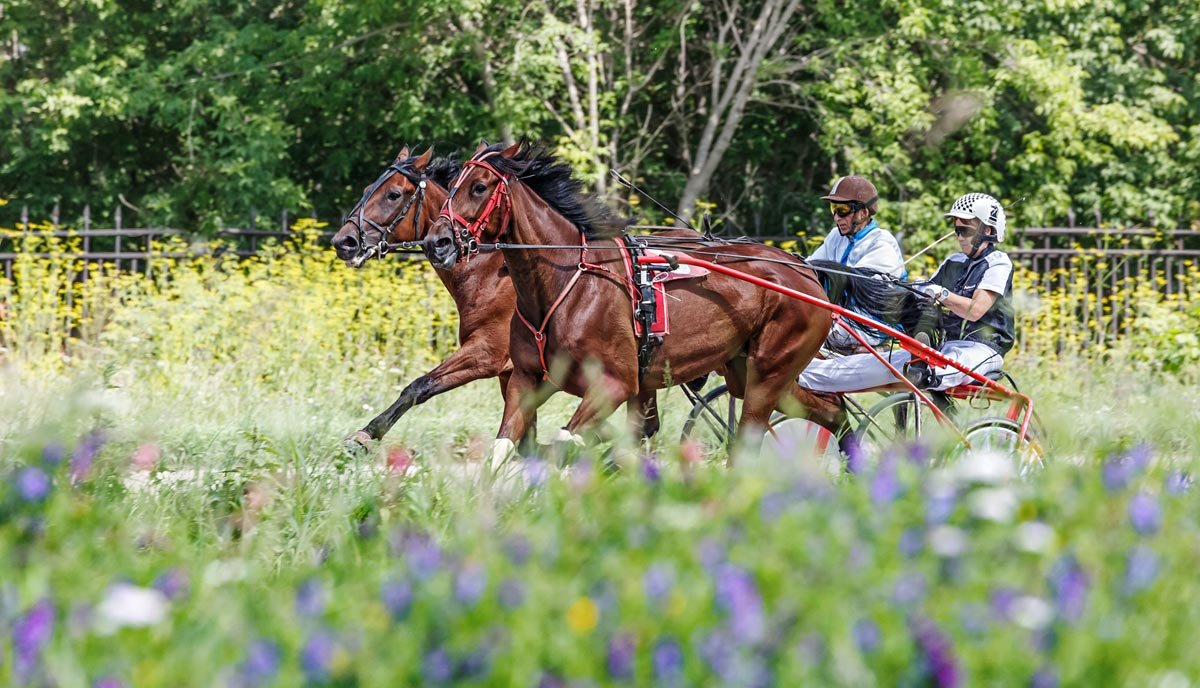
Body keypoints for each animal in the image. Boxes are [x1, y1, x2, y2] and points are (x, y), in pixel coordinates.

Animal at [427, 142, 840, 453]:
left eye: (479, 187)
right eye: (452, 186)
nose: (437, 242)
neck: (566, 283)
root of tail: (803, 272)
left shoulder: (615, 384)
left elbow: (565, 444)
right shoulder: (526, 379)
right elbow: (503, 449)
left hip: (768, 373)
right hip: (749, 371)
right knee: (832, 413)